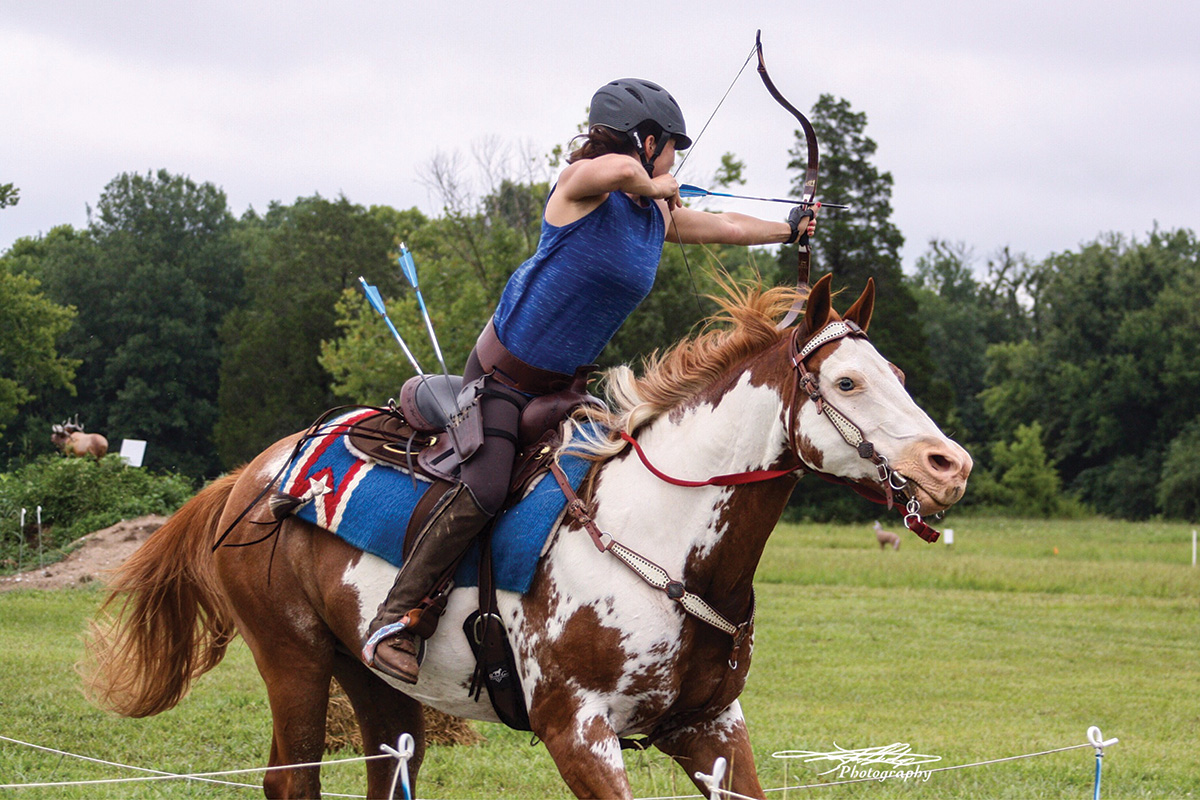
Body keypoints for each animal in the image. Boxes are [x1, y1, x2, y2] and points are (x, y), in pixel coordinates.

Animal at [82, 273, 964, 796]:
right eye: (847, 382)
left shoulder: (712, 728)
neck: (662, 544)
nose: (949, 465)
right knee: (290, 780)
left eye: (899, 377)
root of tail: (253, 473)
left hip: (376, 684)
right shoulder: (577, 733)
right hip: (293, 660)